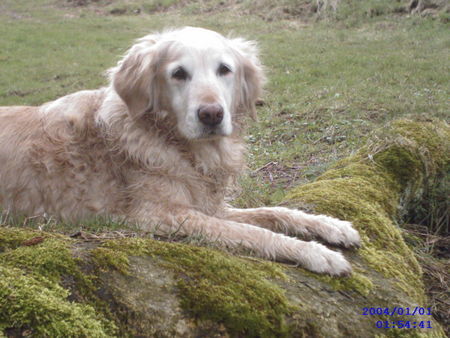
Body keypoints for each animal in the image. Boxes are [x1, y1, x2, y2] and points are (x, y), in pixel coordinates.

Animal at [0, 26, 358, 274]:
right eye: (178, 74)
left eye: (224, 69)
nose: (211, 114)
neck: (178, 145)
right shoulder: (163, 214)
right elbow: (251, 231)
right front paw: (315, 253)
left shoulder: (208, 205)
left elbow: (273, 212)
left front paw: (331, 226)